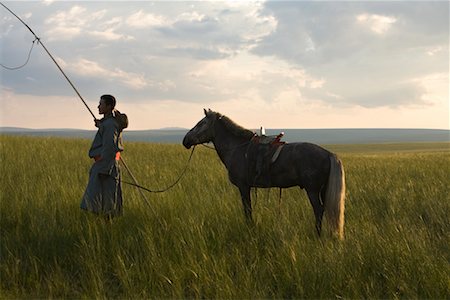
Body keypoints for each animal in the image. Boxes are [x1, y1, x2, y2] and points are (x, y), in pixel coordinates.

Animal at [183, 108, 344, 239]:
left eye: (201, 123)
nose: (185, 140)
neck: (238, 148)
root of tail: (328, 153)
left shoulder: (243, 186)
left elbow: (247, 210)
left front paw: (249, 230)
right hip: (323, 190)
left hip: (312, 190)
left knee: (319, 210)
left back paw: (317, 235)